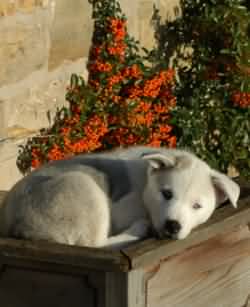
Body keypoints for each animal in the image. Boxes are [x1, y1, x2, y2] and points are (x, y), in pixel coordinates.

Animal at [0, 147, 239, 250]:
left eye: (197, 206)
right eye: (167, 194)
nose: (173, 226)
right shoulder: (118, 210)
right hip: (83, 186)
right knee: (94, 245)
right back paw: (138, 230)